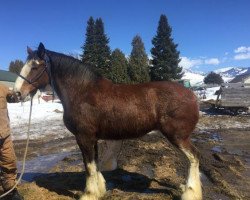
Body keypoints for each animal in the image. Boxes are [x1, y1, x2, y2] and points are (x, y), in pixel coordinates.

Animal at [13, 43, 202, 200]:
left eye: (35, 66)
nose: (15, 94)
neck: (82, 92)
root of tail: (191, 94)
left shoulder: (83, 137)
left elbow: (88, 166)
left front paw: (88, 194)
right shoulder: (92, 138)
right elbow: (95, 164)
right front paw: (100, 190)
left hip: (178, 136)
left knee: (194, 157)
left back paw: (190, 193)